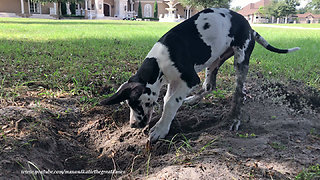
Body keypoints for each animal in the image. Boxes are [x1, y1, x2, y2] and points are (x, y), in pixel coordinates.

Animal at [100, 8, 300, 142]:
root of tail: (251, 28)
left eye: (138, 104)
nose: (133, 125)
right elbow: (168, 100)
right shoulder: (174, 81)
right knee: (209, 86)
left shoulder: (189, 80)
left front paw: (160, 129)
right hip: (213, 62)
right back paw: (192, 100)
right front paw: (166, 121)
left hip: (240, 60)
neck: (159, 63)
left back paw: (234, 119)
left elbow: (170, 103)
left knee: (239, 93)